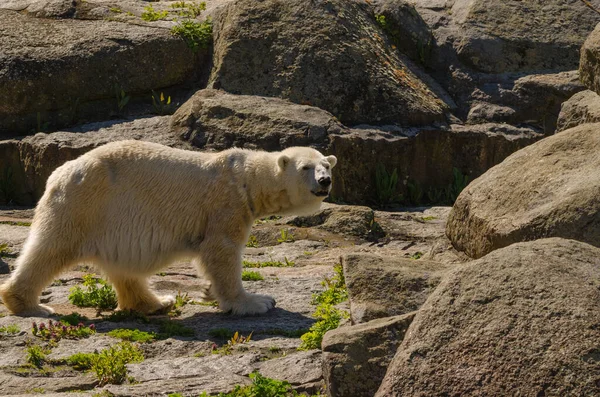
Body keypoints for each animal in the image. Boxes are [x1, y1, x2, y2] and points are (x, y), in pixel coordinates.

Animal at [0, 139, 338, 316]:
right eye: (306, 167)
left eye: (327, 165)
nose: (325, 181)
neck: (246, 178)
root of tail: (58, 173)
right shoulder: (224, 205)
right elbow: (221, 250)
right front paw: (256, 302)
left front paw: (208, 291)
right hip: (85, 204)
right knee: (50, 249)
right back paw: (30, 305)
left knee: (121, 267)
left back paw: (156, 302)